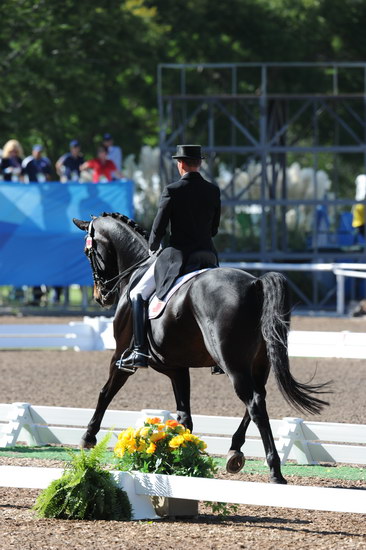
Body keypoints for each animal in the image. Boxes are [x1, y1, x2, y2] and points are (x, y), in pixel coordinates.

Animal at [73, 213, 328, 486]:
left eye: (87, 252)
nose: (101, 296)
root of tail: (255, 283)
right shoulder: (177, 368)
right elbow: (184, 417)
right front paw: (181, 455)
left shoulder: (121, 357)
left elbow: (105, 393)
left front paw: (88, 437)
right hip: (259, 363)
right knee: (259, 398)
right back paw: (235, 451)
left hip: (233, 364)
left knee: (255, 404)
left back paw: (274, 470)